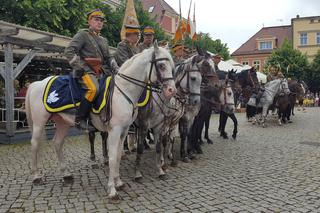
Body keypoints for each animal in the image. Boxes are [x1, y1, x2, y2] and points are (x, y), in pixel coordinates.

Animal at [25, 42, 176, 201]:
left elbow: (118, 155)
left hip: (63, 123)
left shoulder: (124, 131)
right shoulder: (115, 130)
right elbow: (112, 157)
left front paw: (119, 182)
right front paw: (112, 190)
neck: (123, 91)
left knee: (57, 143)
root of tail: (36, 83)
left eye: (171, 65)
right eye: (161, 65)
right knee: (34, 144)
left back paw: (66, 175)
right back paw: (36, 176)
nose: (171, 90)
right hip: (39, 122)